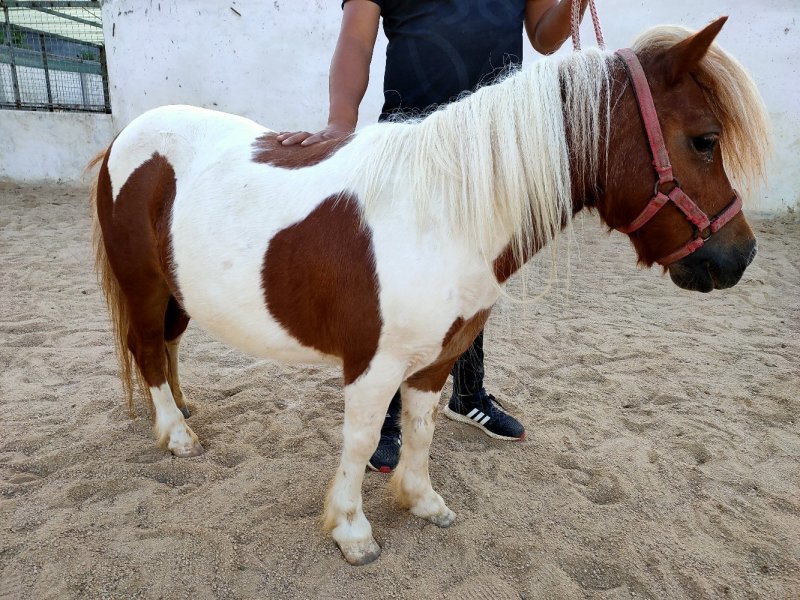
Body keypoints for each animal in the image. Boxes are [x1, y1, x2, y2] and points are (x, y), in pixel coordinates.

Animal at [89, 17, 769, 565]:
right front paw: (353, 532)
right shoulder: (373, 363)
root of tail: (128, 138)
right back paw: (177, 435)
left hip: (177, 294)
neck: (439, 216)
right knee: (147, 351)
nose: (739, 257)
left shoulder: (437, 357)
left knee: (167, 349)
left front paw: (420, 501)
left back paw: (184, 412)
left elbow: (420, 428)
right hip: (144, 286)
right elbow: (363, 440)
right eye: (705, 139)